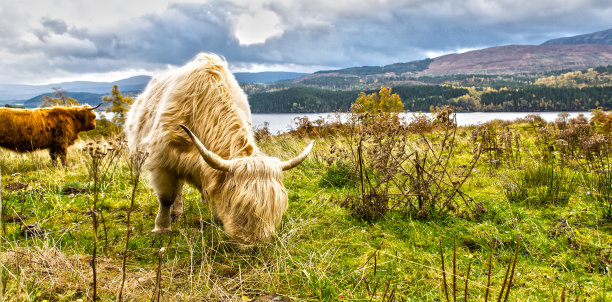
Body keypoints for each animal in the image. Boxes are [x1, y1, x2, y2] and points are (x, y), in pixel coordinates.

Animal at [126, 52, 314, 243]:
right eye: (239, 206)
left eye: (274, 211)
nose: (254, 243)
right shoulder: (162, 160)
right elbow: (166, 198)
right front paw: (161, 228)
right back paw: (176, 214)